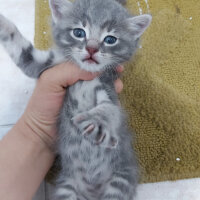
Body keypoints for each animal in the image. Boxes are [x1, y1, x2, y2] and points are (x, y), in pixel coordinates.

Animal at [0, 0, 151, 198]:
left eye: (110, 39)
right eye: (79, 33)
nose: (92, 48)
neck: (85, 76)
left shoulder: (107, 86)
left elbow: (110, 109)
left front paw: (96, 121)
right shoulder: (43, 67)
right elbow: (23, 51)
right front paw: (3, 23)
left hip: (121, 180)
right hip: (67, 186)